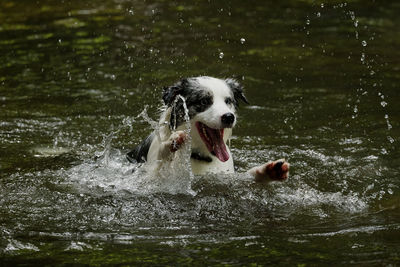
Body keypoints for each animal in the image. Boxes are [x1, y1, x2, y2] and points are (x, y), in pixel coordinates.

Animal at [126, 76, 290, 183]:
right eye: (204, 101)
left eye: (228, 101)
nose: (229, 117)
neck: (201, 156)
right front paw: (170, 143)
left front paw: (268, 171)